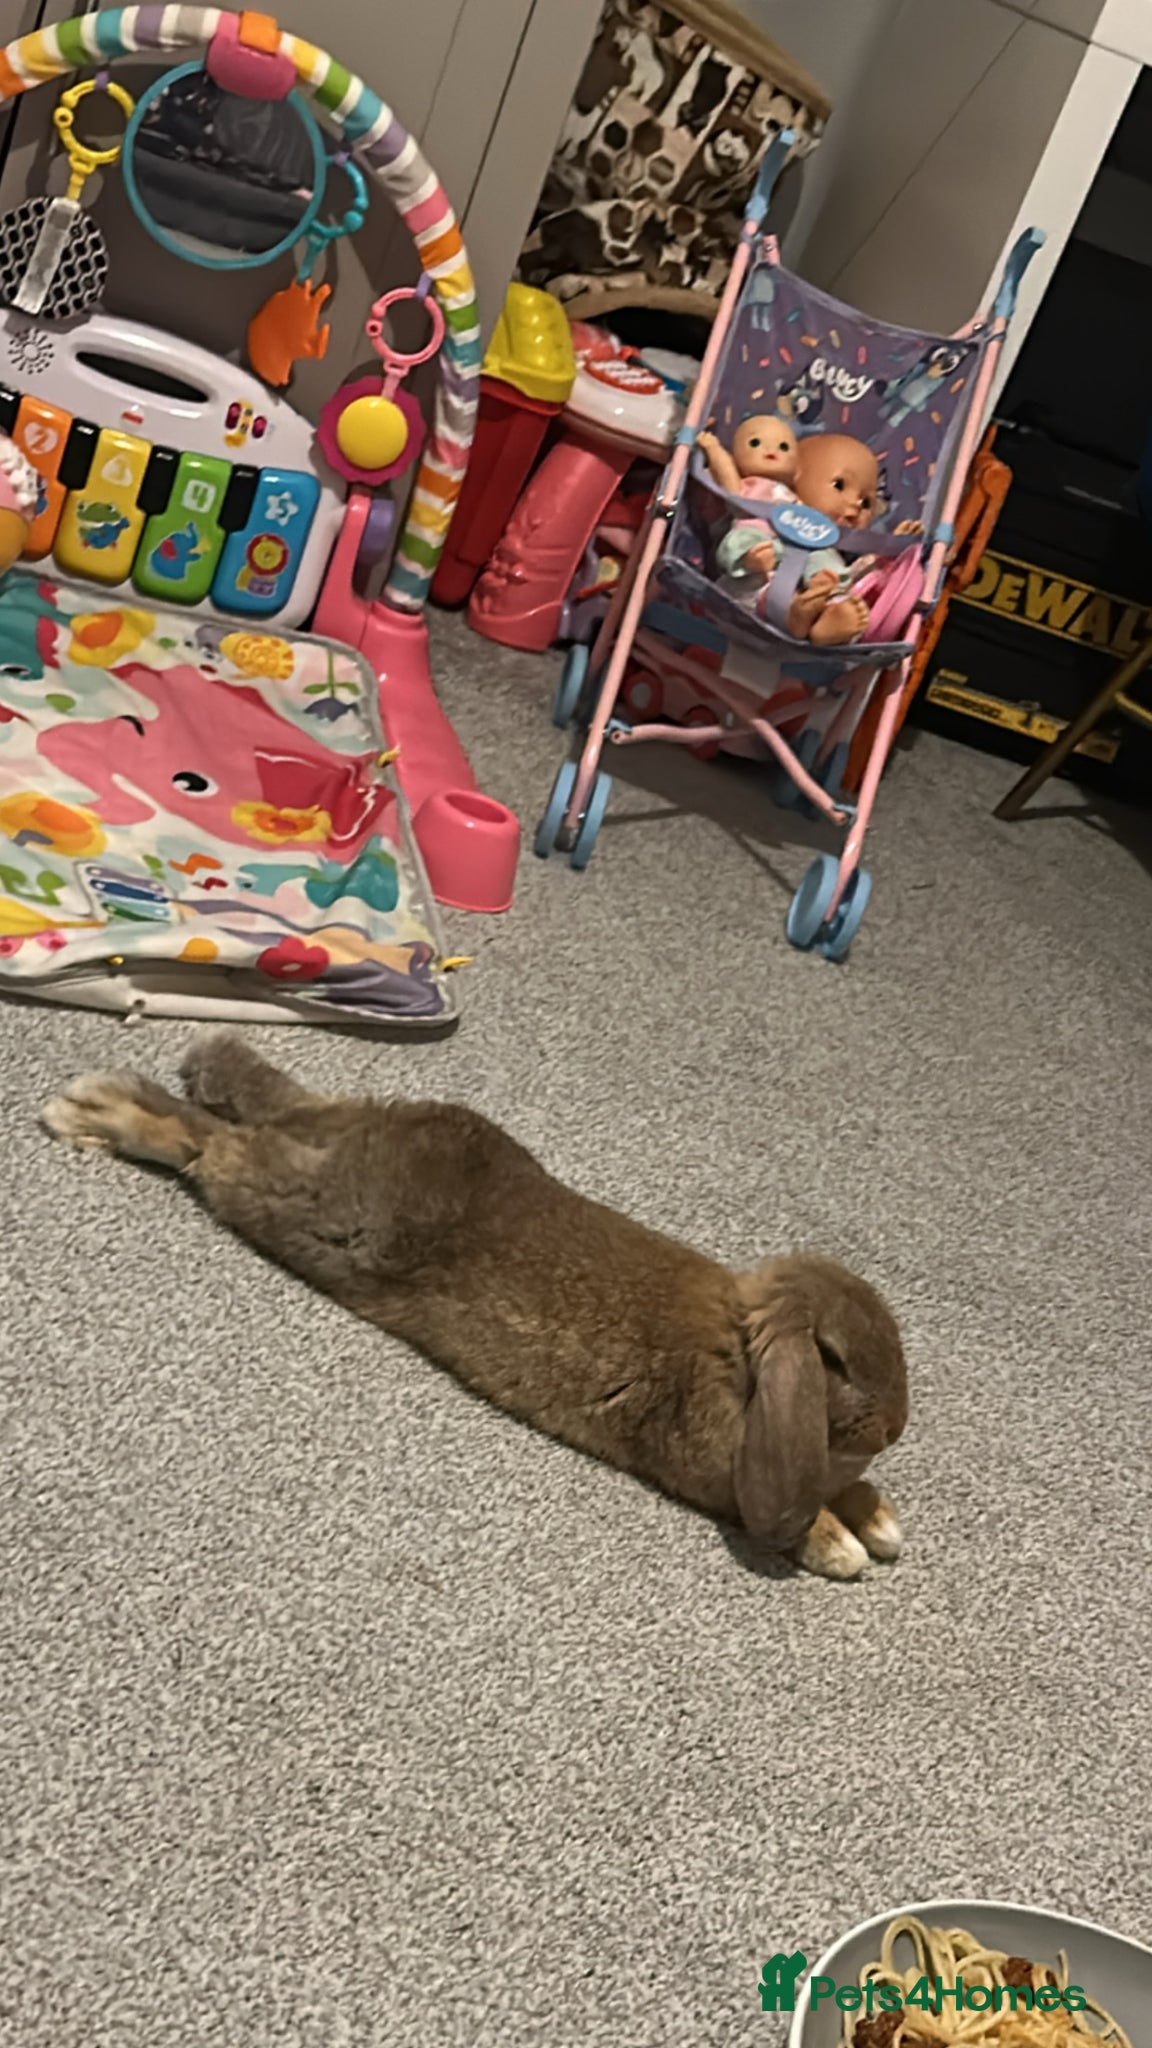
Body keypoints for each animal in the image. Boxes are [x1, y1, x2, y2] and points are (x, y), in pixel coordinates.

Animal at [41, 1032, 908, 1580]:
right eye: (835, 1359)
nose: (893, 1430)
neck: (743, 1352)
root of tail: (366, 1131)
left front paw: (878, 1519)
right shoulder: (712, 1455)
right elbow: (781, 1504)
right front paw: (838, 1546)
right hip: (316, 1220)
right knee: (210, 1147)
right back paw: (93, 1111)